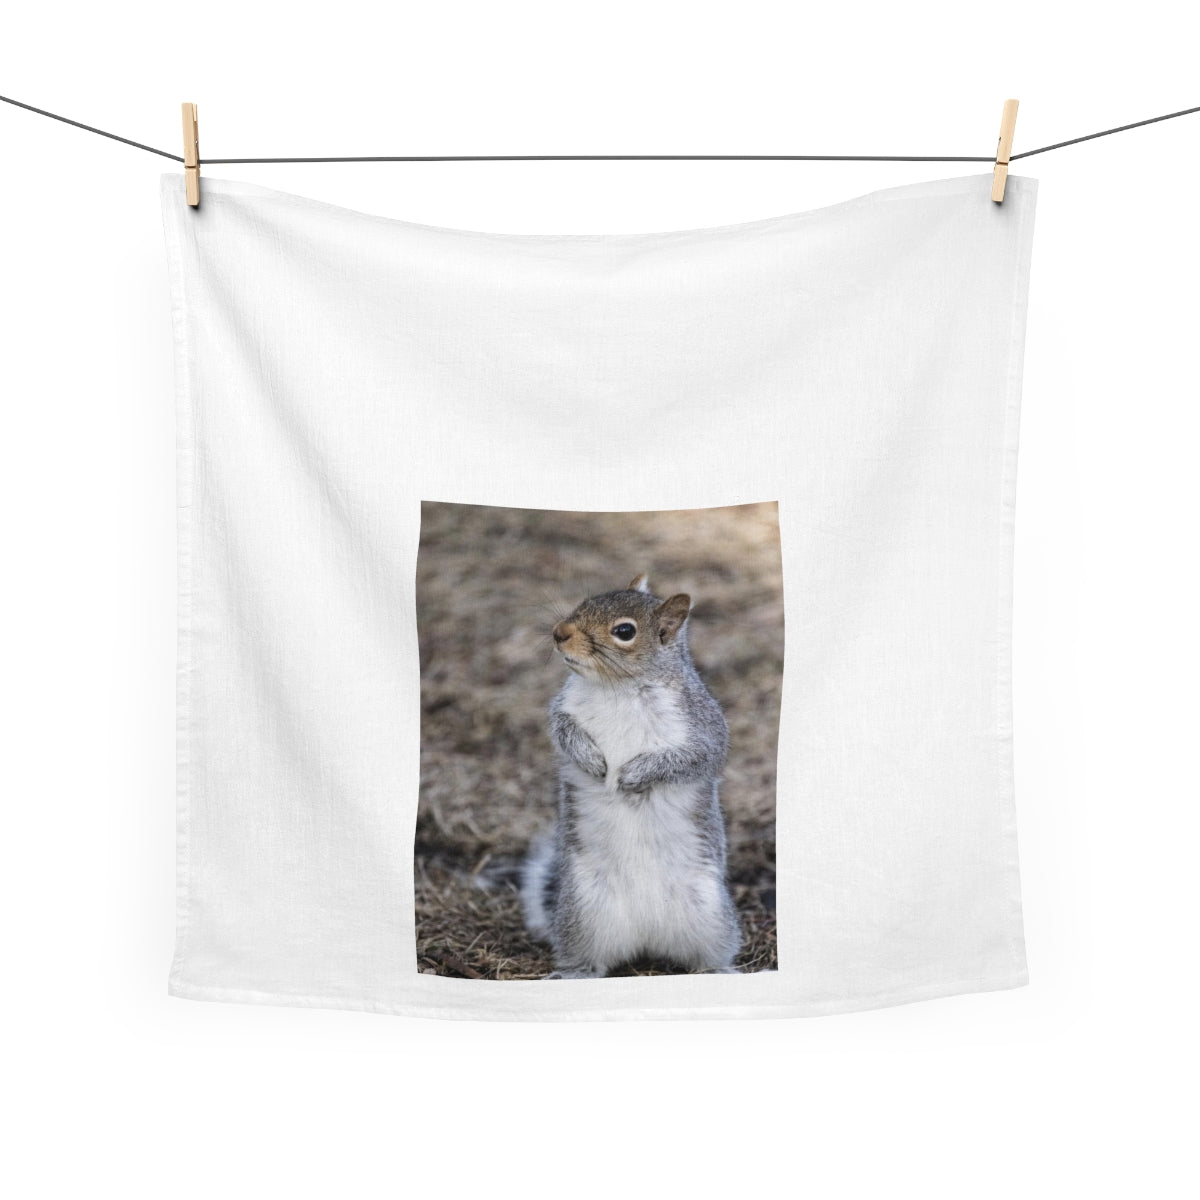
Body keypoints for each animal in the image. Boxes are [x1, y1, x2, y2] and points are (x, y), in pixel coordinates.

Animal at [521, 574, 741, 978]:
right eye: (586, 601)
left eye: (625, 631)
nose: (559, 632)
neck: (618, 687)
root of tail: (647, 935)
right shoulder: (563, 709)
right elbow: (563, 732)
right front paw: (592, 760)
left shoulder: (703, 729)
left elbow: (692, 758)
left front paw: (633, 776)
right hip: (584, 912)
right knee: (587, 956)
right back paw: (575, 972)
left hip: (709, 913)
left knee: (709, 954)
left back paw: (717, 970)